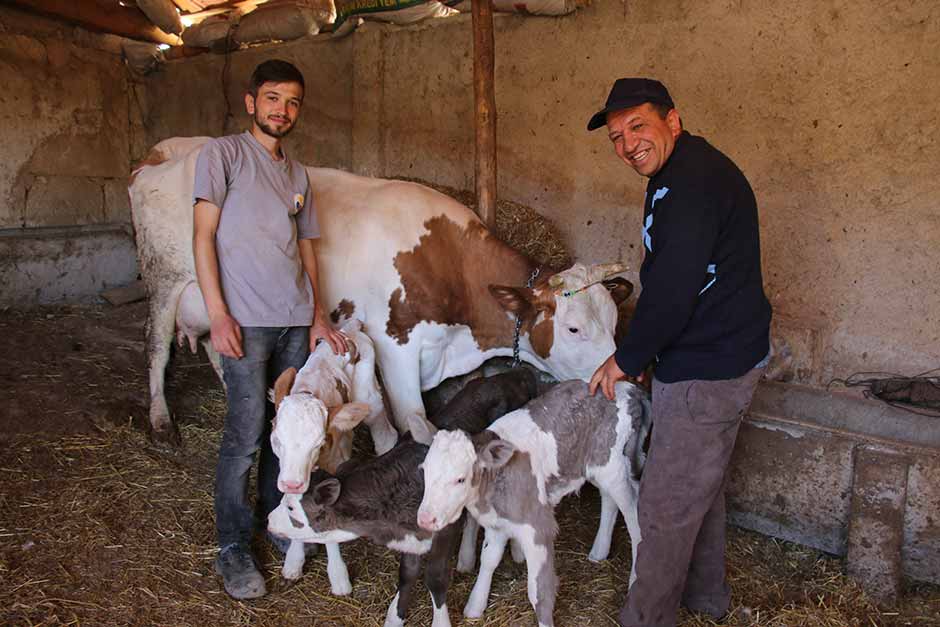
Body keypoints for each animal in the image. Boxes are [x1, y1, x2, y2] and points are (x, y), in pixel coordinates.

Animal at [126, 137, 632, 444]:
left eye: (614, 323)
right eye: (573, 328)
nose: (624, 379)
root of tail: (168, 152)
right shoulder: (396, 346)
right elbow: (417, 425)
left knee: (218, 348)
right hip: (165, 278)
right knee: (156, 346)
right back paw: (161, 419)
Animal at [266, 318, 398, 592]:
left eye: (318, 442)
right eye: (277, 439)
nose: (292, 483)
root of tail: (350, 328)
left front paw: (339, 579)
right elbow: (293, 502)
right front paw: (294, 562)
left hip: (371, 401)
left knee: (385, 436)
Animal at [268, 370, 540, 624]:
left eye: (291, 508)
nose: (268, 520)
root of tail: (513, 375)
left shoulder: (443, 530)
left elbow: (435, 578)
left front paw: (440, 621)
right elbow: (407, 573)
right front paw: (395, 616)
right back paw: (466, 558)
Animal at [414, 380, 648, 624]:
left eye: (460, 479)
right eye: (425, 471)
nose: (425, 519)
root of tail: (628, 387)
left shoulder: (539, 527)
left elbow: (538, 591)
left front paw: (545, 621)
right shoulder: (497, 523)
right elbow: (488, 559)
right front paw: (475, 606)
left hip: (614, 468)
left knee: (633, 510)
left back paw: (634, 578)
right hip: (596, 468)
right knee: (609, 499)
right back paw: (599, 551)